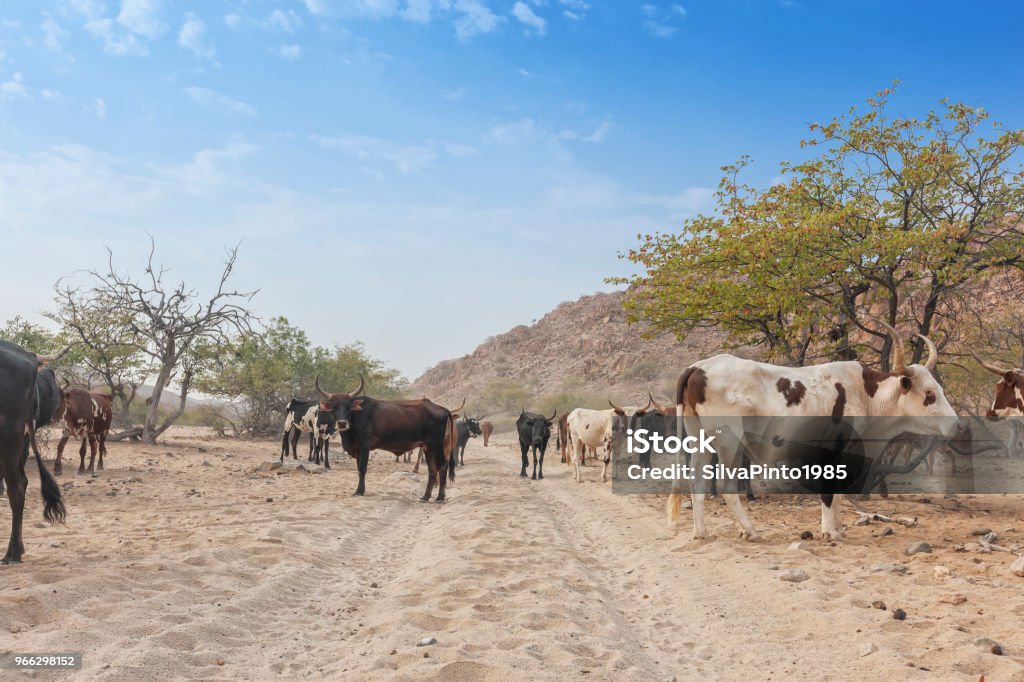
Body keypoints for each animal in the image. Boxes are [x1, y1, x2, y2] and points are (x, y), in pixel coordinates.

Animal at [667, 319, 962, 540]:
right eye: (929, 394)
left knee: (697, 483)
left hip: (700, 440)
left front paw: (837, 528)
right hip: (729, 442)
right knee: (727, 487)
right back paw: (750, 530)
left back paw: (701, 532)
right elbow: (829, 491)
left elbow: (838, 493)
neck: (865, 394)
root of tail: (698, 367)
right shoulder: (833, 451)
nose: (957, 425)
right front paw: (829, 531)